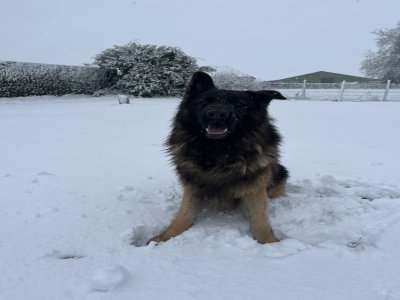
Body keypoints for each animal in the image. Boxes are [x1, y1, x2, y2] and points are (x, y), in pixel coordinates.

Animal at [150, 72, 288, 244]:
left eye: (239, 105)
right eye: (204, 102)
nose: (217, 114)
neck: (219, 152)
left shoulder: (255, 189)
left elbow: (260, 220)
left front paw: (269, 242)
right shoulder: (193, 188)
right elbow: (183, 216)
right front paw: (163, 238)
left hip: (281, 172)